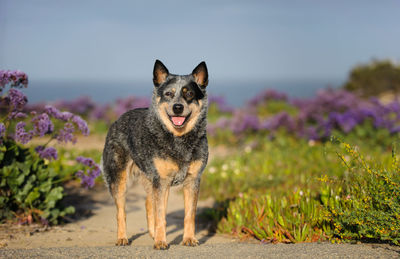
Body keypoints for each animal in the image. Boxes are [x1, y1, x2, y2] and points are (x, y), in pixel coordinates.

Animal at [101, 60, 209, 251]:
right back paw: (122, 238)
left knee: (148, 202)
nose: (178, 107)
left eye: (189, 93)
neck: (178, 138)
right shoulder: (162, 181)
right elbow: (161, 215)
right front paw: (160, 241)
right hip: (118, 178)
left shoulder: (192, 180)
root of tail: (118, 119)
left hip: (150, 178)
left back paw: (151, 233)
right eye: (168, 94)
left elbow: (189, 214)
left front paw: (189, 239)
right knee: (121, 211)